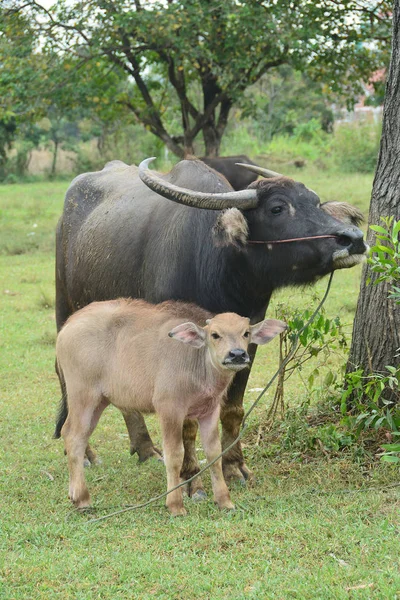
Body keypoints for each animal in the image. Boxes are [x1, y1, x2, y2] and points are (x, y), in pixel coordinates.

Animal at [57, 298, 286, 512]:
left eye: (245, 333)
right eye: (215, 335)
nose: (237, 354)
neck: (197, 365)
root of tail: (68, 326)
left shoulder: (210, 411)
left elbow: (214, 453)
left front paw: (224, 501)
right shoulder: (169, 409)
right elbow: (174, 454)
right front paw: (175, 504)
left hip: (99, 401)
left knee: (75, 435)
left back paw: (74, 495)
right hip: (82, 395)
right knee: (73, 436)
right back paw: (83, 499)